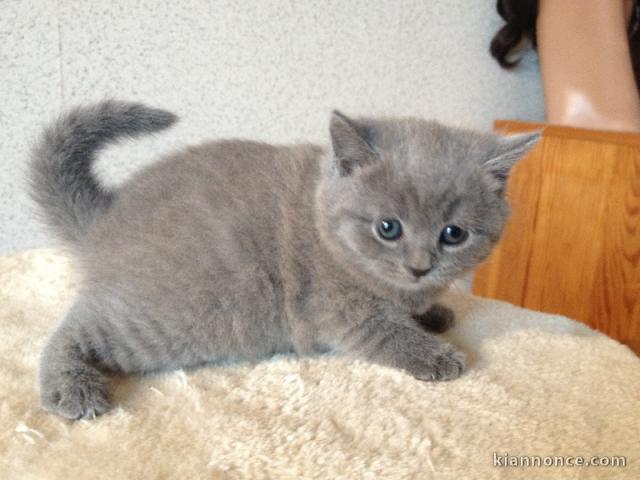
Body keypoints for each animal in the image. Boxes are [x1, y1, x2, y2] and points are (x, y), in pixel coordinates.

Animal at [30, 101, 540, 420]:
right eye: (388, 228)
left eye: (454, 234)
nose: (420, 266)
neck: (322, 218)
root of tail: (105, 220)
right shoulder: (335, 308)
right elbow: (386, 332)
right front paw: (436, 354)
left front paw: (434, 313)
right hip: (169, 319)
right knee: (77, 325)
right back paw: (71, 387)